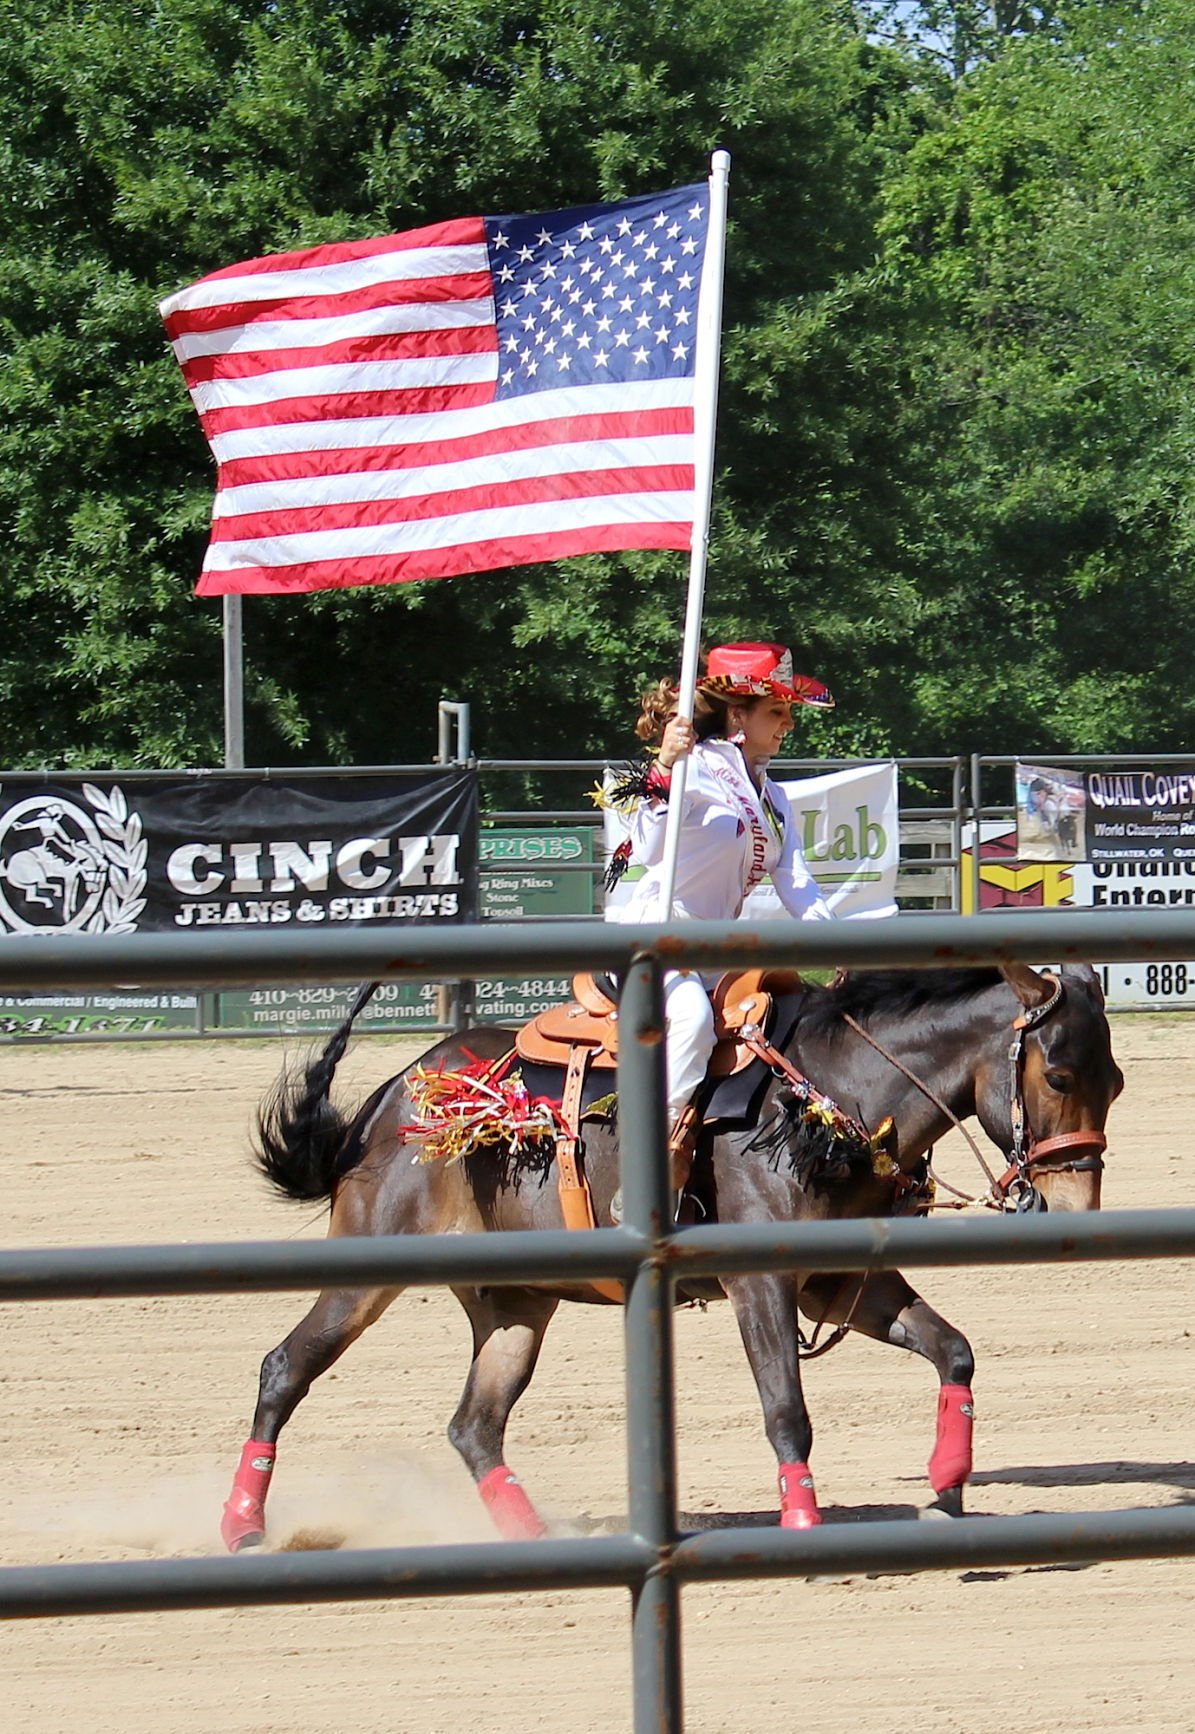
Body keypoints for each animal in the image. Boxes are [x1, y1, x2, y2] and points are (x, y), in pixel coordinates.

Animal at [221, 957, 1116, 1553]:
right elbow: (786, 1409)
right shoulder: (762, 1282)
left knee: (474, 1425)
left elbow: (952, 1351)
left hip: (513, 1303)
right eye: (1058, 1075)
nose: (1076, 1208)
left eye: (1113, 1082)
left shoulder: (836, 1284)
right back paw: (241, 1524)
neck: (834, 1093)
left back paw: (536, 1535)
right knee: (283, 1367)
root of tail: (399, 1090)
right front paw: (802, 1519)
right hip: (370, 1264)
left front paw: (946, 1486)